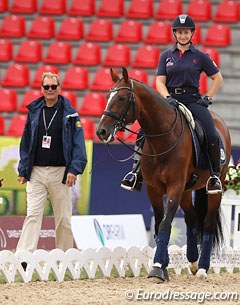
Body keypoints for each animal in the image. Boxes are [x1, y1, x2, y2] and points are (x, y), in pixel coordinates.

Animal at [95, 66, 231, 280]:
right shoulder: (154, 189)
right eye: (108, 96)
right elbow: (159, 225)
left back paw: (202, 268)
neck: (163, 138)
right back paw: (193, 262)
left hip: (214, 188)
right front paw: (162, 264)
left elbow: (167, 223)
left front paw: (158, 266)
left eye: (122, 98)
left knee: (208, 223)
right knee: (192, 218)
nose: (101, 132)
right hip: (187, 190)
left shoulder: (175, 186)